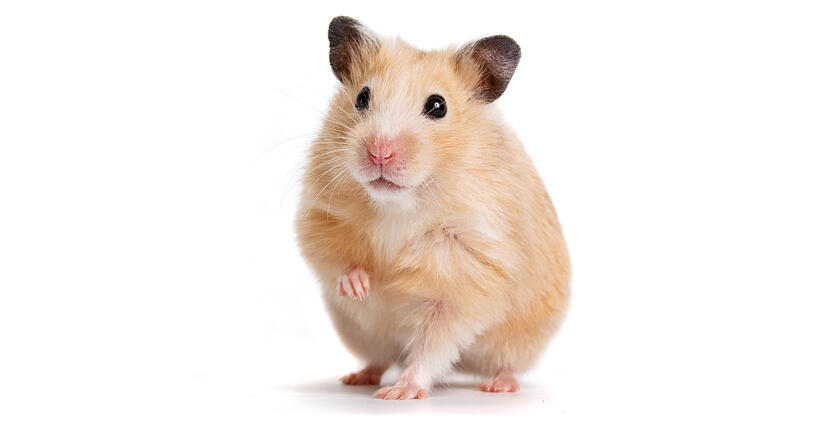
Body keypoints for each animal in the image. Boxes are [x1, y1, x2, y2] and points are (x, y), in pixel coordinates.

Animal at [295, 16, 570, 400]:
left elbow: (433, 343)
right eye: (362, 97)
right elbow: (336, 259)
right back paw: (357, 377)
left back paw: (497, 386)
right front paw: (361, 287)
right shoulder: (320, 214)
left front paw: (400, 393)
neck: (399, 203)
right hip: (361, 334)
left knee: (506, 362)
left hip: (521, 338)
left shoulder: (464, 276)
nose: (380, 153)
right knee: (379, 358)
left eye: (438, 106)